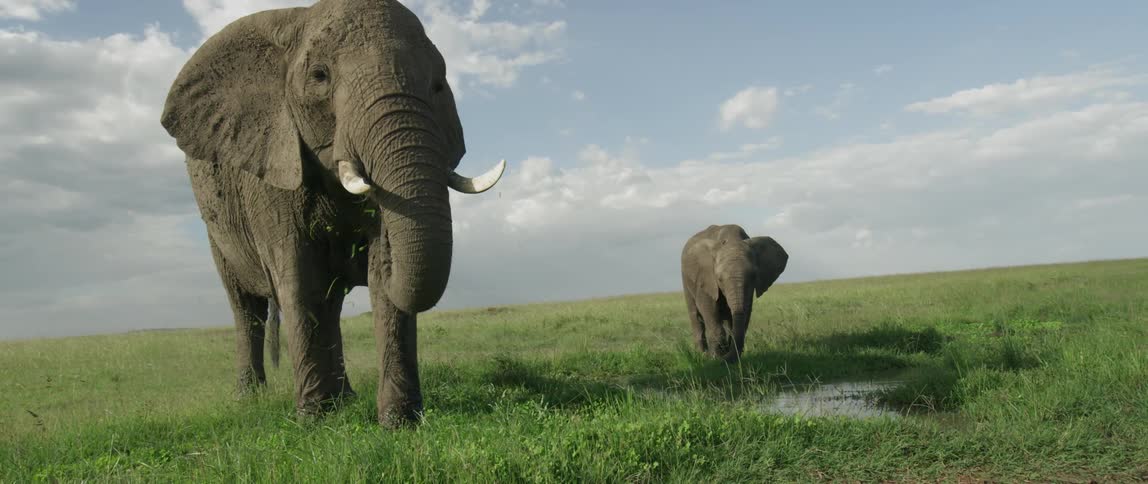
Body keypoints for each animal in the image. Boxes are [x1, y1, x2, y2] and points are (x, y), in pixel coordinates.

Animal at [160, 0, 506, 427]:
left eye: (438, 86)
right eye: (319, 77)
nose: (385, 246)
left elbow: (379, 292)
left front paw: (399, 423)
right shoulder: (273, 169)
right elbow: (300, 279)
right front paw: (313, 421)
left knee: (330, 302)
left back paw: (345, 397)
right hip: (217, 229)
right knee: (247, 308)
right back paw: (250, 399)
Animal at [680, 224, 788, 362]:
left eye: (754, 276)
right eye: (719, 279)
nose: (723, 358)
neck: (732, 239)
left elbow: (746, 311)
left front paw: (724, 356)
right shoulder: (705, 278)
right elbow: (708, 307)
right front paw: (715, 358)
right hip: (686, 279)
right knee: (695, 315)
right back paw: (702, 354)